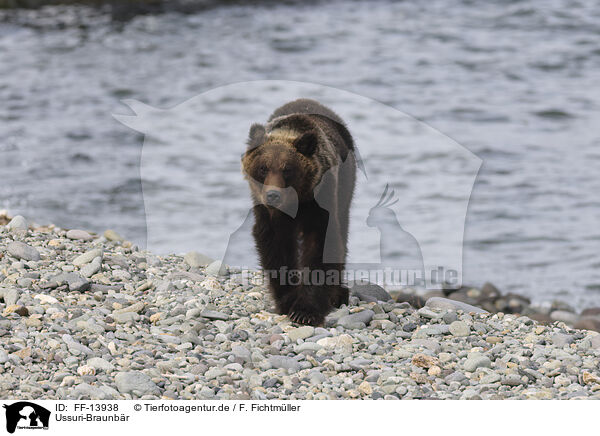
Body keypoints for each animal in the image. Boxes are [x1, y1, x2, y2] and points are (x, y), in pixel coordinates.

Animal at [243, 98, 358, 324]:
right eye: (263, 167)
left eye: (287, 169)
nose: (273, 195)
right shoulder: (269, 215)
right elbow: (275, 248)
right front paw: (287, 302)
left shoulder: (319, 201)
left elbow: (321, 244)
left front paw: (306, 311)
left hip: (346, 186)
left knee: (343, 229)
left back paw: (338, 293)